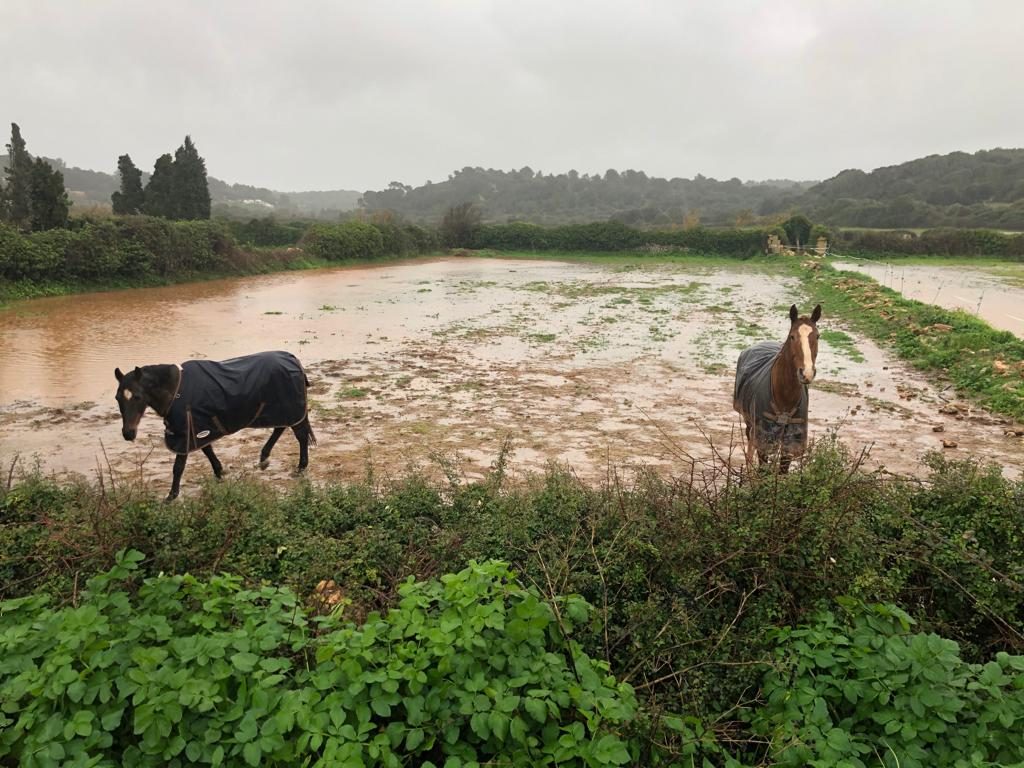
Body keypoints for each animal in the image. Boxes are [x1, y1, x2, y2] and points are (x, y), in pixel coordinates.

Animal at [115, 352, 315, 501]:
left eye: (137, 396)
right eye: (118, 398)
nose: (128, 433)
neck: (176, 390)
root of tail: (293, 359)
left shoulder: (185, 433)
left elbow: (178, 466)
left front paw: (171, 496)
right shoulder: (198, 428)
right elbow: (208, 450)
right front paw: (219, 472)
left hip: (290, 408)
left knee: (300, 436)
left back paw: (300, 467)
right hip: (279, 410)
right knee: (280, 428)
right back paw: (264, 458)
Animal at [733, 303, 819, 473]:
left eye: (818, 336)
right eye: (792, 336)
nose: (806, 373)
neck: (785, 396)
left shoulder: (791, 440)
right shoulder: (764, 437)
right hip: (749, 422)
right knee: (749, 442)